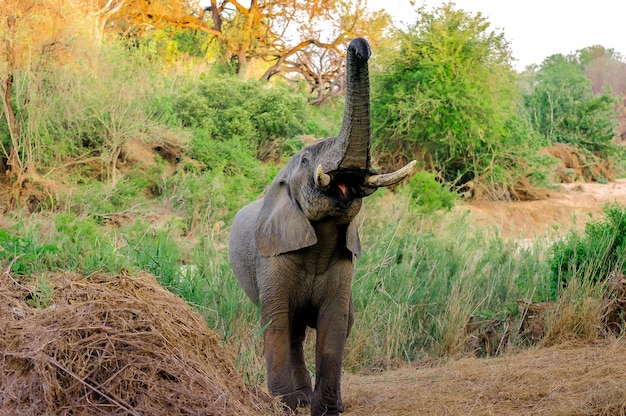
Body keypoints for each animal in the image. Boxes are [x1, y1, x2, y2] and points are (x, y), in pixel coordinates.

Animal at [228, 37, 414, 414]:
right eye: (304, 159)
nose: (359, 45)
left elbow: (335, 324)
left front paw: (328, 409)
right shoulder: (270, 258)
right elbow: (276, 322)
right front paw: (287, 405)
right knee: (291, 331)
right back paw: (296, 400)